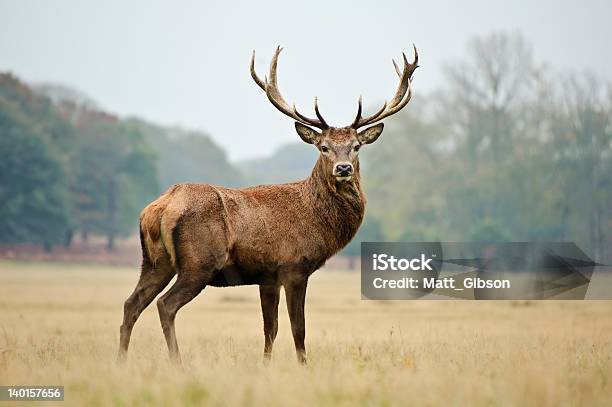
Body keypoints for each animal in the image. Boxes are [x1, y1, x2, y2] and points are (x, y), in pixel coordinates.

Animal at [117, 46, 418, 364]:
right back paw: (177, 363)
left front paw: (265, 365)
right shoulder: (294, 267)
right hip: (199, 262)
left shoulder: (267, 277)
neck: (317, 221)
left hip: (155, 261)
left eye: (356, 146)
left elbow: (270, 329)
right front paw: (303, 365)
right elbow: (298, 328)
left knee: (131, 303)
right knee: (166, 305)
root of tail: (159, 208)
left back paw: (121, 361)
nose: (344, 168)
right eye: (323, 147)